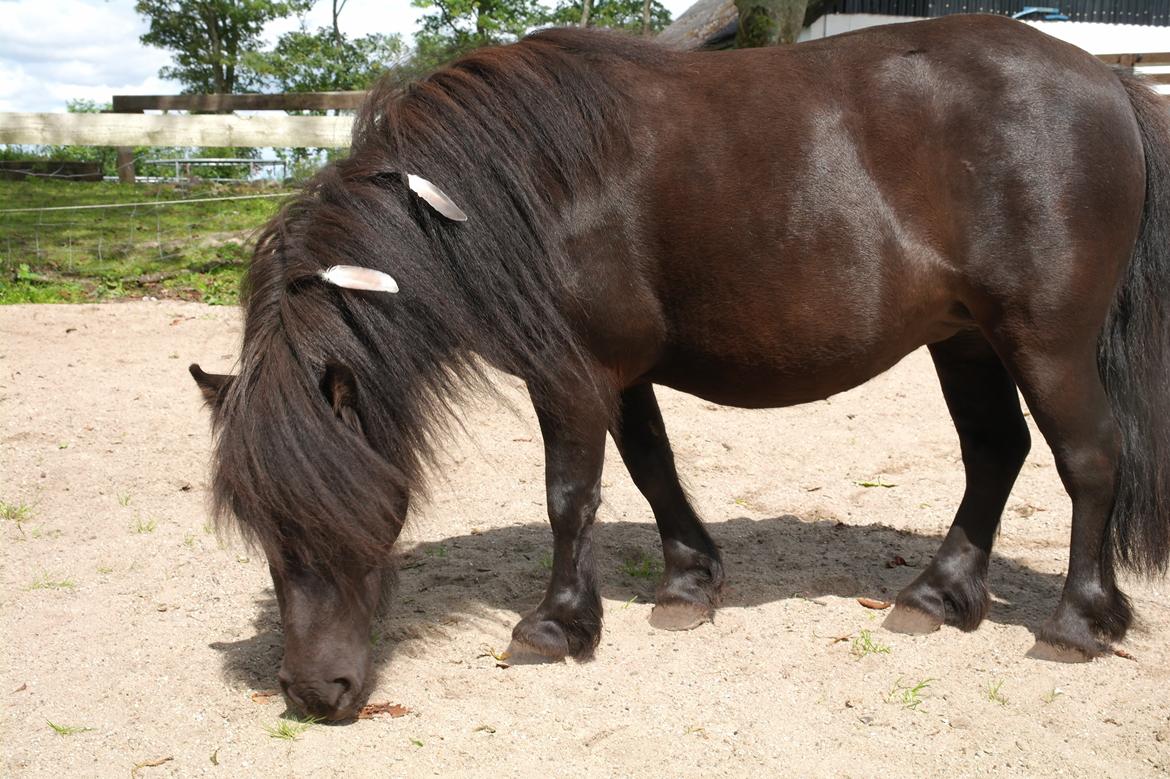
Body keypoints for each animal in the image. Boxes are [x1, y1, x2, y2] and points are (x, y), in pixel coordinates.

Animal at [190, 14, 1170, 721]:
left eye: (339, 511)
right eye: (260, 524)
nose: (313, 694)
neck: (498, 193)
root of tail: (1108, 80)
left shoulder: (571, 373)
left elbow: (570, 495)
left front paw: (556, 625)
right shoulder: (621, 373)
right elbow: (653, 469)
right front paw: (689, 583)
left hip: (1043, 339)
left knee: (1088, 461)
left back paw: (1077, 621)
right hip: (963, 338)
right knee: (996, 452)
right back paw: (937, 595)